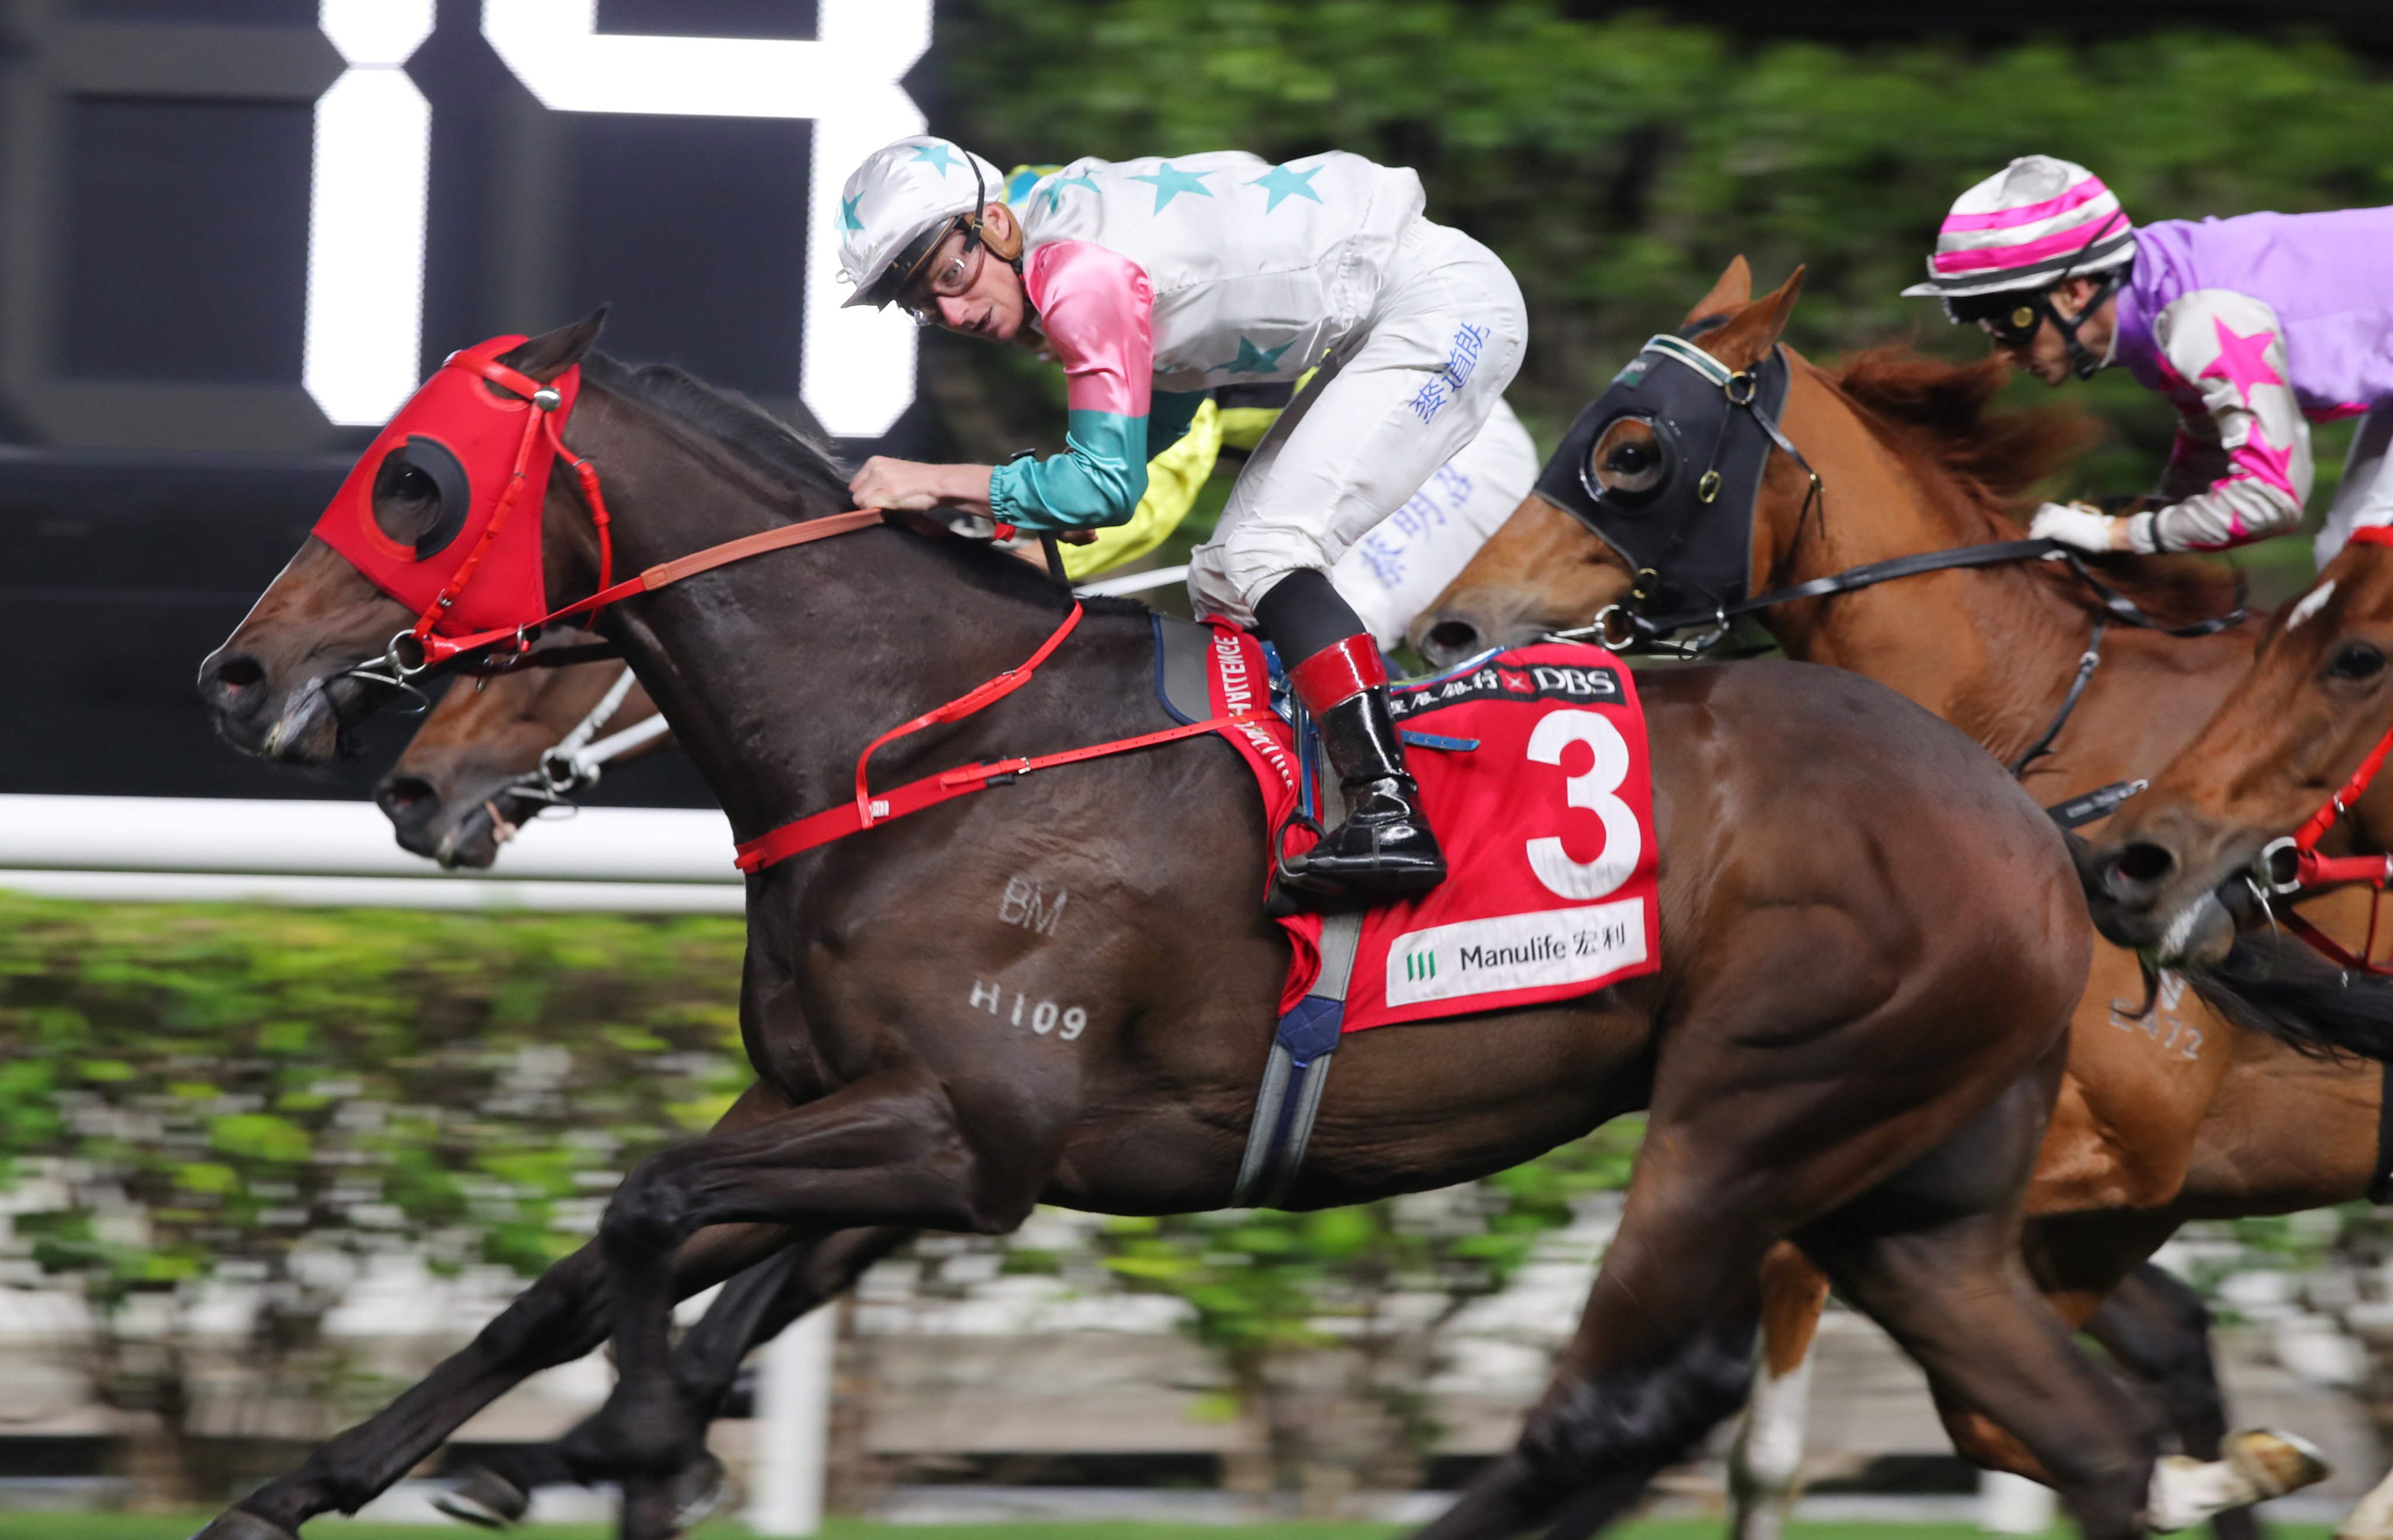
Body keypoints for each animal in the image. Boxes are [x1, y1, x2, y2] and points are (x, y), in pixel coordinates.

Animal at [186, 315, 2173, 1540]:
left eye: (417, 484)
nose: (243, 676)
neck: (918, 737)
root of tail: (2021, 813)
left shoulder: (970, 1132)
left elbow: (652, 1216)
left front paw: (648, 1446)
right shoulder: (840, 1110)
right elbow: (587, 1263)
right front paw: (310, 1483)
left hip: (1754, 1108)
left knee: (1627, 1398)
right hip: (1905, 1186)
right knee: (2083, 1433)